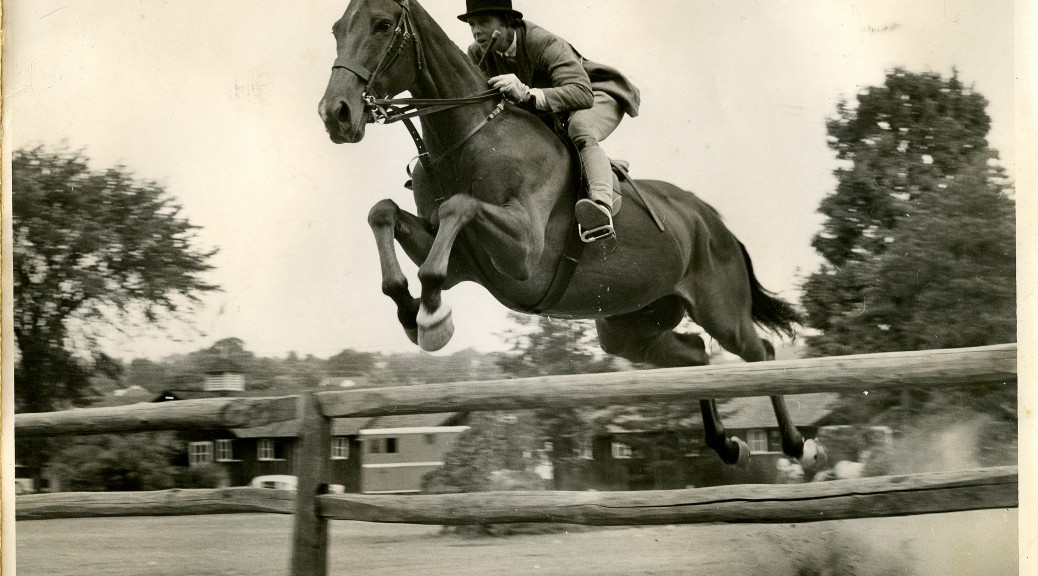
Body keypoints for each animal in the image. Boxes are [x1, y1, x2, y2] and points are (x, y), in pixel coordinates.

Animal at [318, 0, 825, 470]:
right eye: (337, 28)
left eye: (383, 25)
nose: (335, 114)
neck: (467, 137)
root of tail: (714, 221)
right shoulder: (463, 259)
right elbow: (384, 213)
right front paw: (410, 308)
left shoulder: (523, 250)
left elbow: (456, 208)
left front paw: (432, 317)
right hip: (629, 326)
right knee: (698, 356)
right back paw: (726, 444)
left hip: (720, 308)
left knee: (760, 352)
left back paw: (800, 447)